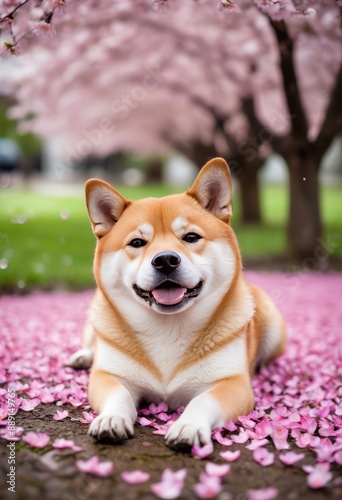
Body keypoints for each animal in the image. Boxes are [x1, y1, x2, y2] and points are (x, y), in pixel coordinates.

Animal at [69, 158, 286, 448]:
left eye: (191, 237)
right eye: (137, 242)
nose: (165, 260)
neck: (168, 328)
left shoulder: (233, 383)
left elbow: (203, 400)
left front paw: (188, 425)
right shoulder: (109, 376)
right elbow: (119, 395)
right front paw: (111, 418)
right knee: (93, 343)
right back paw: (83, 356)